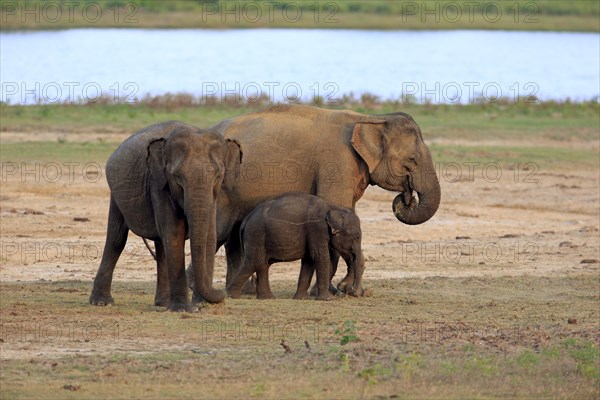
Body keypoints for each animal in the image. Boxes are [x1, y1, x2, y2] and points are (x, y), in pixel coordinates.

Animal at [88, 120, 241, 310]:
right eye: (177, 177)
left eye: (218, 175)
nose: (222, 292)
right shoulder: (158, 182)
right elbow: (174, 232)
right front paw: (186, 309)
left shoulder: (215, 195)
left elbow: (210, 235)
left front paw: (199, 304)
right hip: (116, 195)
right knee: (116, 239)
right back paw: (102, 302)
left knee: (160, 244)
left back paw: (162, 304)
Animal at [227, 193, 364, 300]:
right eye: (357, 237)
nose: (351, 291)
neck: (333, 207)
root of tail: (245, 222)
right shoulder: (317, 229)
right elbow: (321, 257)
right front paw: (328, 299)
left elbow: (309, 260)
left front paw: (302, 298)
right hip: (256, 235)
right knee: (254, 263)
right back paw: (232, 295)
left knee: (262, 265)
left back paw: (267, 298)